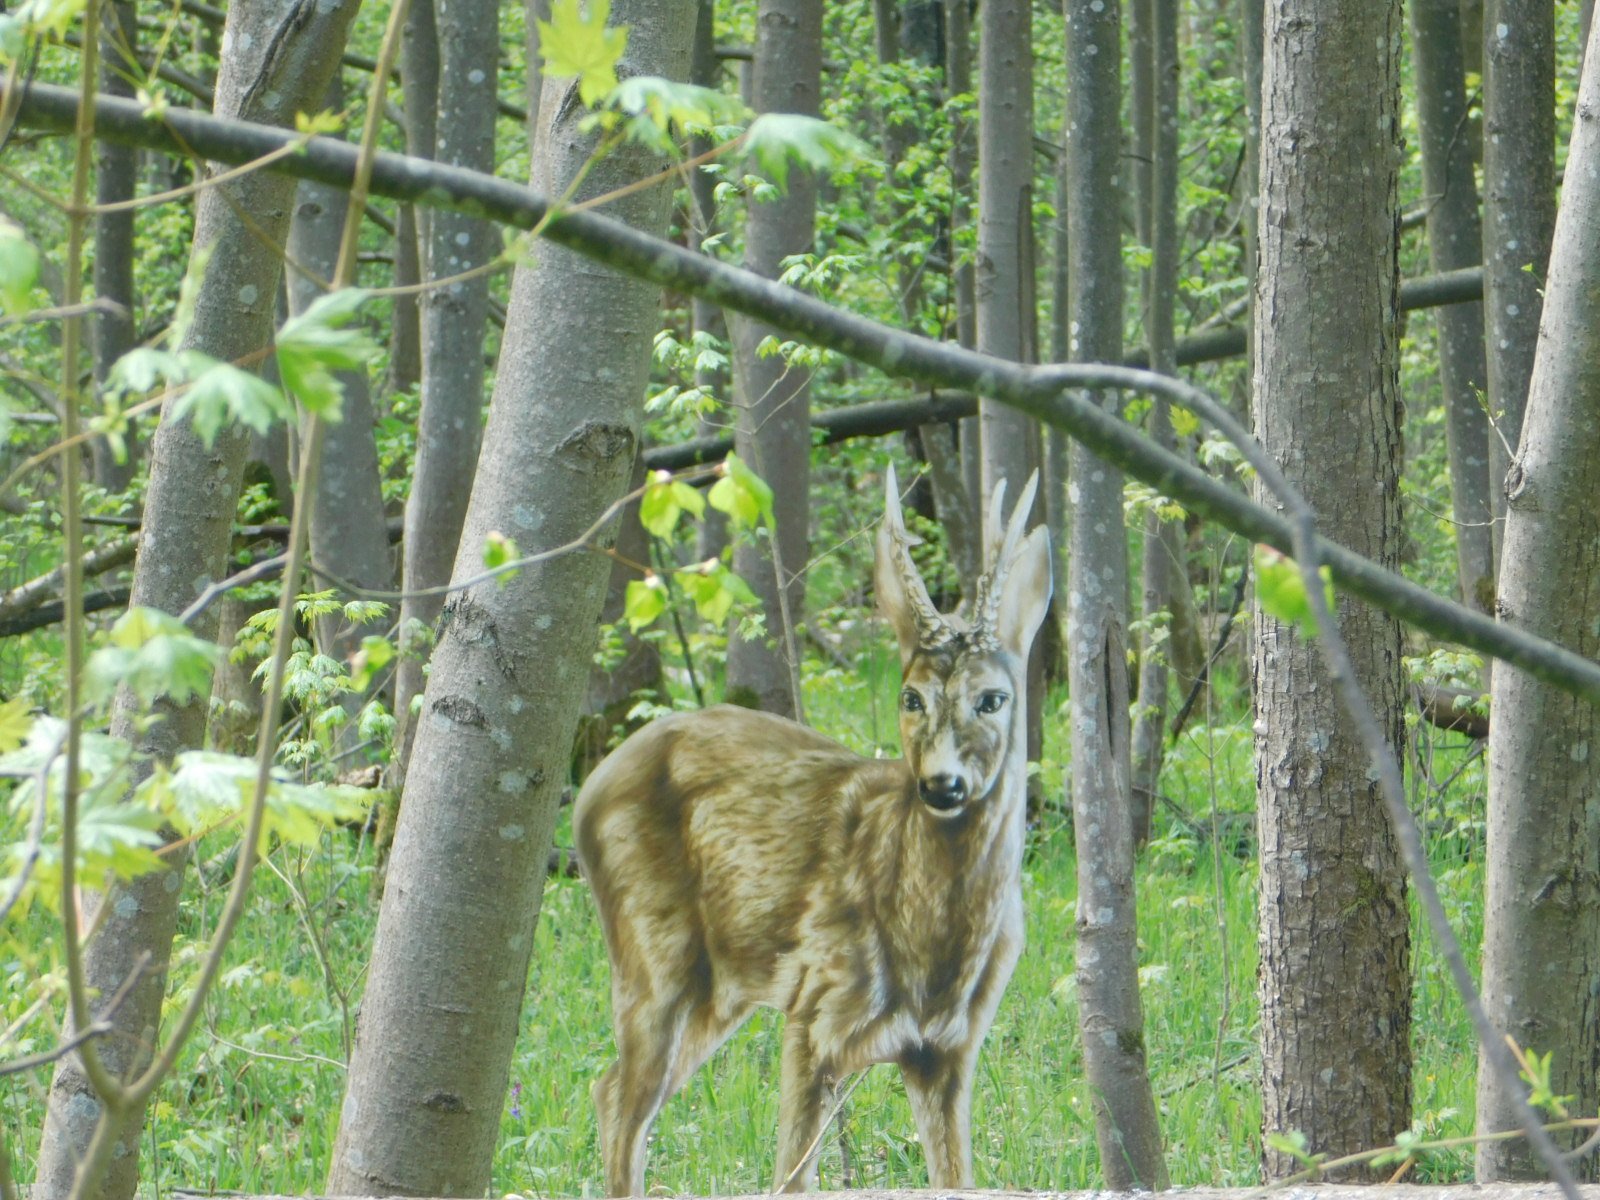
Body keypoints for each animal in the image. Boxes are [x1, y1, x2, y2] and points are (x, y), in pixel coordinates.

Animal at [576, 464, 1049, 1196]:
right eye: (910, 696)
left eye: (993, 699)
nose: (941, 785)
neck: (933, 948)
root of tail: (590, 788)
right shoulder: (814, 1010)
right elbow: (789, 1177)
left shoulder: (949, 1049)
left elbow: (955, 1175)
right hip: (650, 950)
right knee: (625, 1099)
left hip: (721, 987)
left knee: (610, 1091)